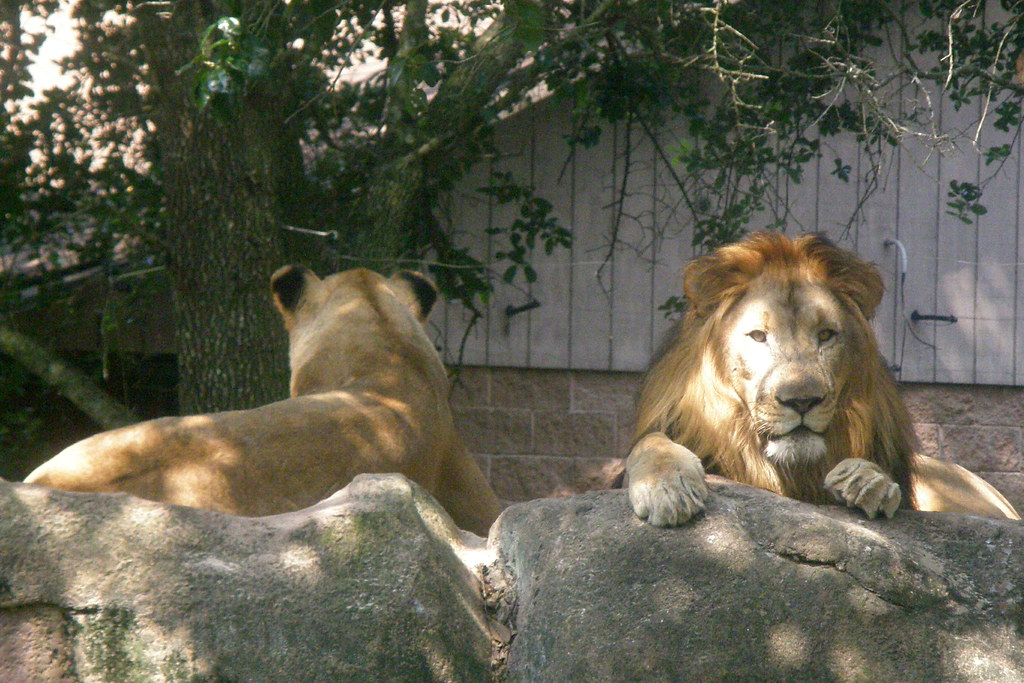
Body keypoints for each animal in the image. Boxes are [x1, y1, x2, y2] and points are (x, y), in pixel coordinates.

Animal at [626, 232, 1020, 526]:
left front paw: (868, 481)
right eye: (758, 336)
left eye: (826, 335)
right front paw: (668, 488)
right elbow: (650, 443)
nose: (802, 401)